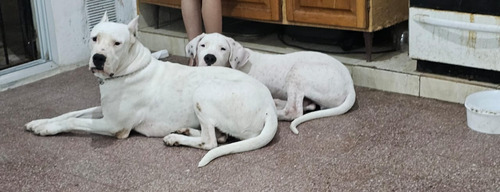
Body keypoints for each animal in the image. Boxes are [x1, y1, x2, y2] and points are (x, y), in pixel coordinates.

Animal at [25, 13, 278, 166]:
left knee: (211, 141)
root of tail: (270, 107)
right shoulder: (105, 111)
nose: (98, 58)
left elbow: (73, 121)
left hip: (203, 93)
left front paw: (46, 129)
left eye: (117, 43)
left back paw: (177, 137)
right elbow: (72, 113)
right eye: (94, 38)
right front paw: (39, 122)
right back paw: (184, 131)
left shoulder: (114, 125)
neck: (130, 69)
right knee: (219, 135)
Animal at [187, 33, 356, 134]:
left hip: (298, 69)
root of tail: (350, 85)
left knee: (293, 111)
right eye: (202, 45)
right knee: (307, 104)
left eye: (223, 49)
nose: (209, 58)